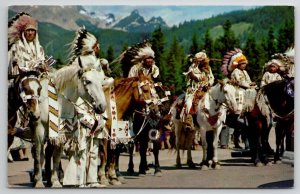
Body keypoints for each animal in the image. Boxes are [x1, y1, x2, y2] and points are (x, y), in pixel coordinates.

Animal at [32, 56, 107, 187]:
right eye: (88, 81)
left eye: (102, 80)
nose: (101, 107)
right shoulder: (39, 130)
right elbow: (39, 155)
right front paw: (39, 182)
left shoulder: (61, 134)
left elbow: (56, 156)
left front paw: (55, 182)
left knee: (49, 153)